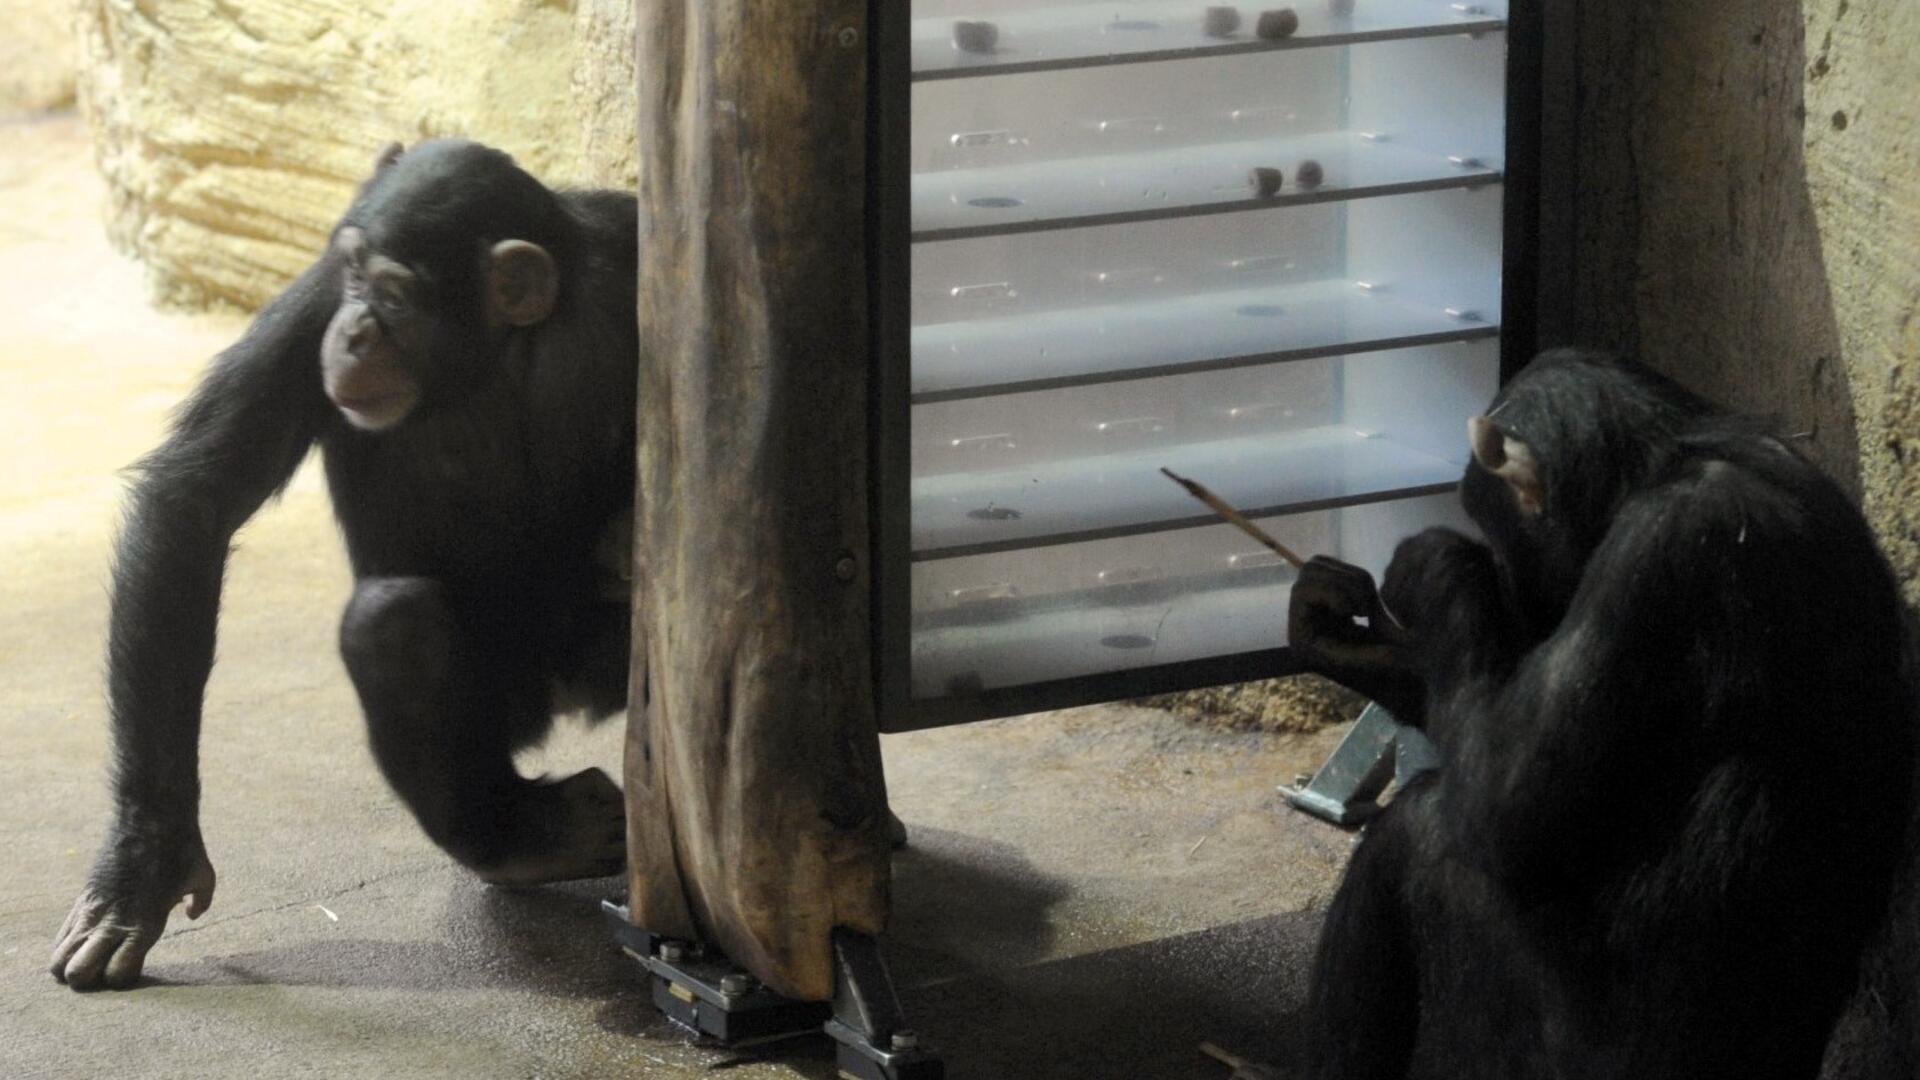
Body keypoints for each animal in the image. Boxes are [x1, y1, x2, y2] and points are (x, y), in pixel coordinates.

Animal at [46, 138, 637, 991]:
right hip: (510, 699)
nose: (356, 329)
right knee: (393, 627)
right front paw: (142, 869)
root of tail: (569, 695)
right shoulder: (310, 304)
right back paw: (519, 840)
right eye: (354, 275)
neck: (500, 348)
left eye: (393, 294)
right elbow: (193, 501)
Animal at [1290, 351, 1920, 1076]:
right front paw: (1337, 633)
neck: (1664, 463)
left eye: (1487, 522)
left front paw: (1435, 568)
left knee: (1422, 834)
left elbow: (1512, 804)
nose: (1512, 583)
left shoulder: (1655, 559)